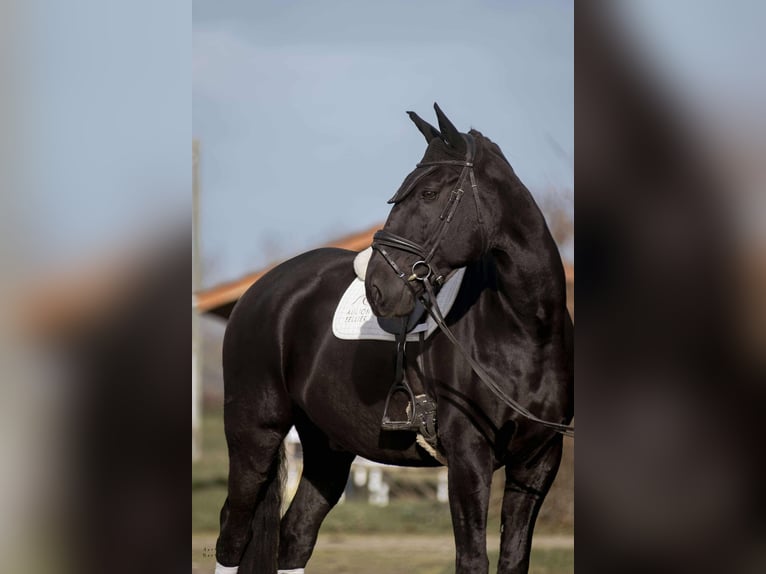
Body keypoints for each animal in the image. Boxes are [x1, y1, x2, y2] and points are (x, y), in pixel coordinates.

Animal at [213, 104, 572, 574]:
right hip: (255, 432)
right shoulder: (468, 458)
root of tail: (262, 291)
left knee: (296, 533)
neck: (524, 329)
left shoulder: (538, 462)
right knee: (233, 533)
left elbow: (513, 560)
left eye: (430, 194)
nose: (378, 288)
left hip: (328, 448)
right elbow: (472, 559)